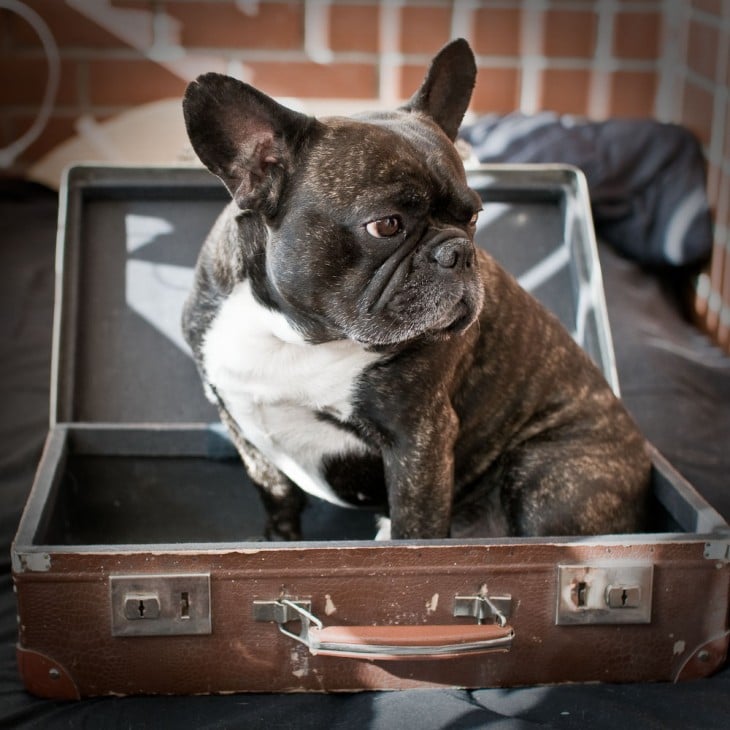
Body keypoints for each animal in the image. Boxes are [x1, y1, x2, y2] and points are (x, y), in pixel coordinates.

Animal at [182, 39, 648, 540]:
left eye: (473, 216)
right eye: (386, 225)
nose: (459, 252)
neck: (297, 336)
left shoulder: (418, 439)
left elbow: (415, 530)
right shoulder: (241, 426)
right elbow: (276, 494)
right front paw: (280, 541)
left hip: (547, 474)